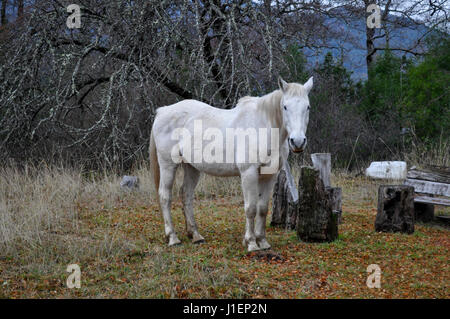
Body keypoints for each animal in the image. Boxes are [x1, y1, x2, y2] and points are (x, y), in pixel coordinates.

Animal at [150, 77, 312, 252]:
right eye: (285, 107)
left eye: (307, 107)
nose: (297, 142)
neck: (263, 127)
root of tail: (163, 111)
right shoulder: (249, 173)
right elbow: (250, 208)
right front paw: (251, 243)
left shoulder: (270, 175)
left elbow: (262, 209)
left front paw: (262, 242)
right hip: (168, 164)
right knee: (165, 196)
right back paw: (173, 238)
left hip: (192, 167)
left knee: (186, 195)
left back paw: (195, 236)